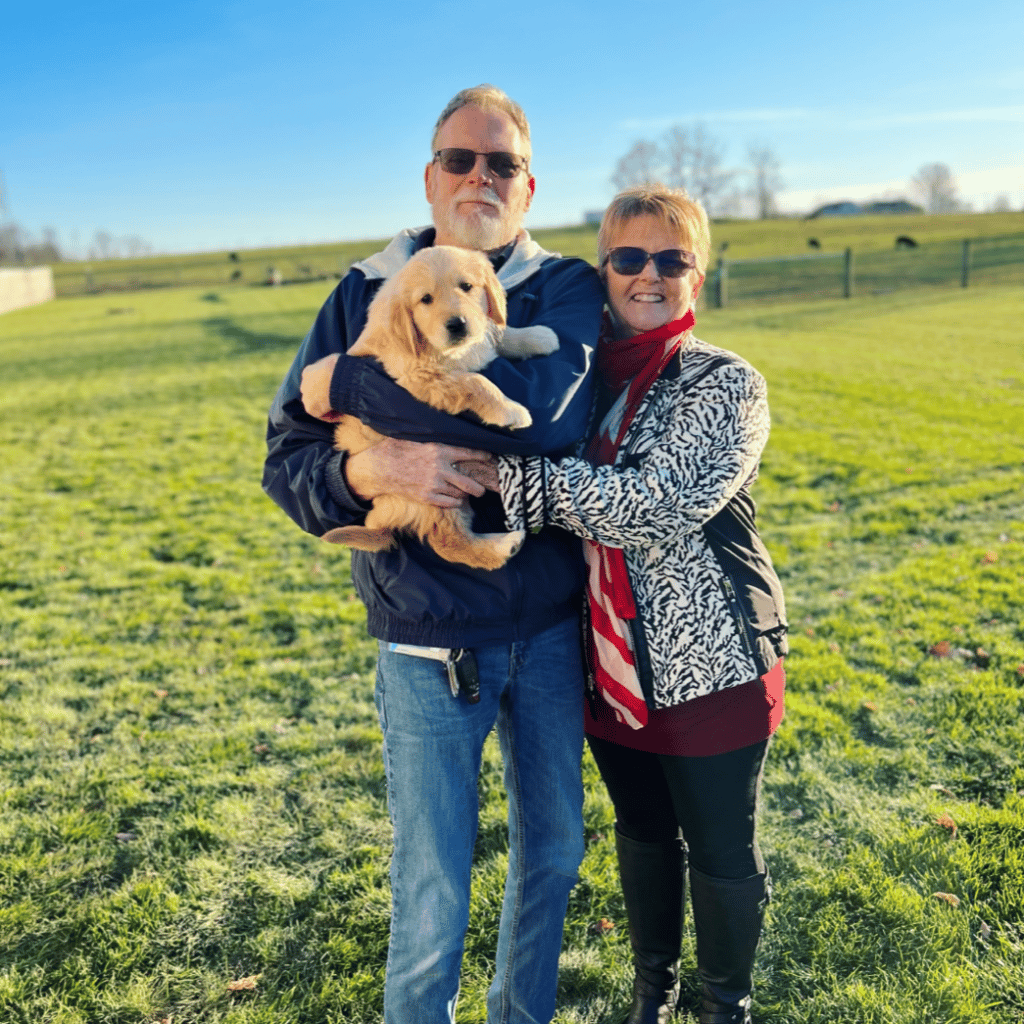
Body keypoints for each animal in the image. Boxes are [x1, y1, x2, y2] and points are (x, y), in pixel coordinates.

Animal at [311, 246, 561, 569]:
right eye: (425, 299)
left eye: (466, 286)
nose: (457, 325)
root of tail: (379, 519)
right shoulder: (422, 379)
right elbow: (476, 381)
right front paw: (510, 411)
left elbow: (497, 332)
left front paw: (539, 336)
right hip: (435, 496)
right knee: (448, 541)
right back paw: (506, 545)